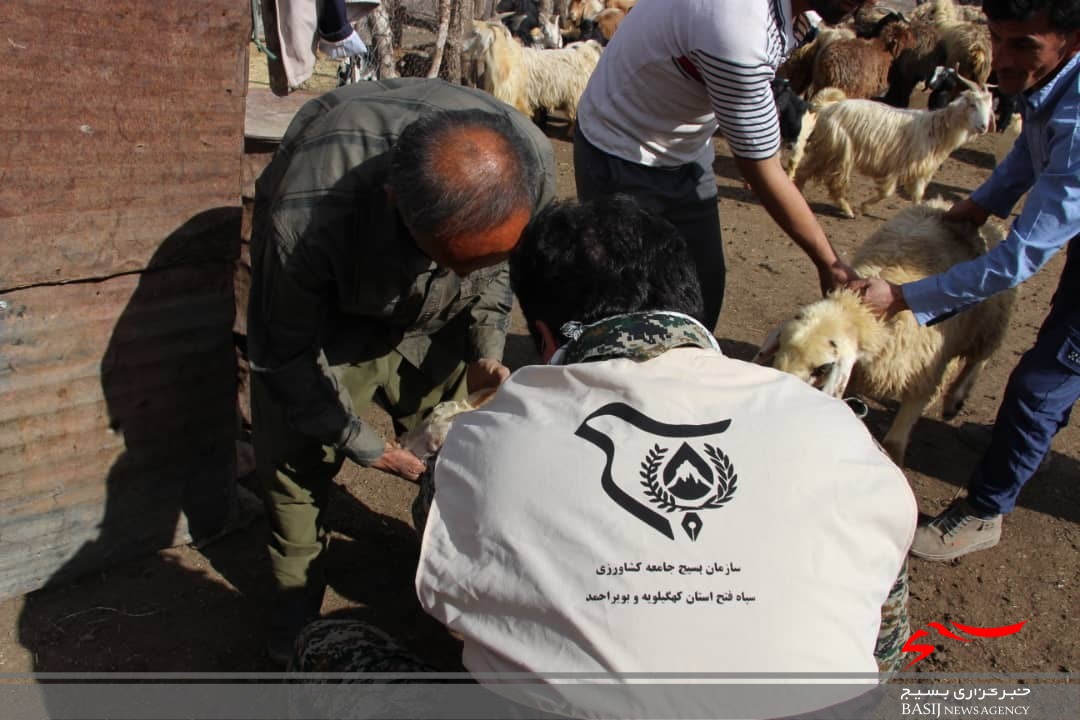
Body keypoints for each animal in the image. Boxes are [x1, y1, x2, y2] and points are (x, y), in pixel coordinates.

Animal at [756, 199, 1015, 464]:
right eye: (778, 352)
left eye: (823, 368)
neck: (859, 311)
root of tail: (946, 205)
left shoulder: (922, 376)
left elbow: (894, 441)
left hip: (991, 316)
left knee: (980, 357)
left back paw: (955, 399)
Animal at [790, 76, 989, 218]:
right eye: (973, 105)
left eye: (989, 107)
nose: (983, 126)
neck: (936, 130)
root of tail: (826, 108)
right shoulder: (896, 165)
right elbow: (887, 192)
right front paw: (863, 207)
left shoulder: (919, 171)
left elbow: (917, 197)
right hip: (839, 150)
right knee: (834, 182)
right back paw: (848, 210)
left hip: (827, 150)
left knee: (804, 171)